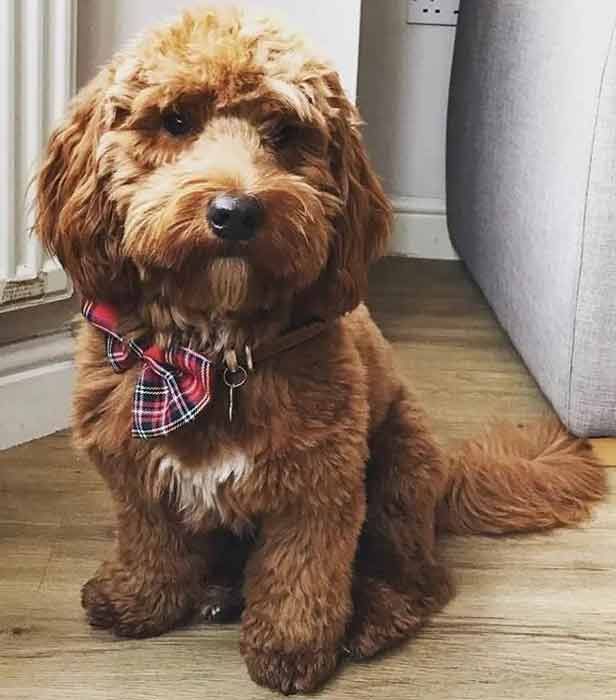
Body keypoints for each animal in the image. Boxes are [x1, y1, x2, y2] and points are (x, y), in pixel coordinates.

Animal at [36, 6, 608, 696]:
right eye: (176, 120)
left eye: (285, 132)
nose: (236, 212)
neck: (213, 359)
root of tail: (447, 478)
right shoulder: (132, 465)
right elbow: (152, 540)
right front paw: (140, 599)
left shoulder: (320, 484)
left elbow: (300, 572)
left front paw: (292, 647)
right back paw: (220, 589)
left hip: (398, 470)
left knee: (415, 576)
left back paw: (372, 615)